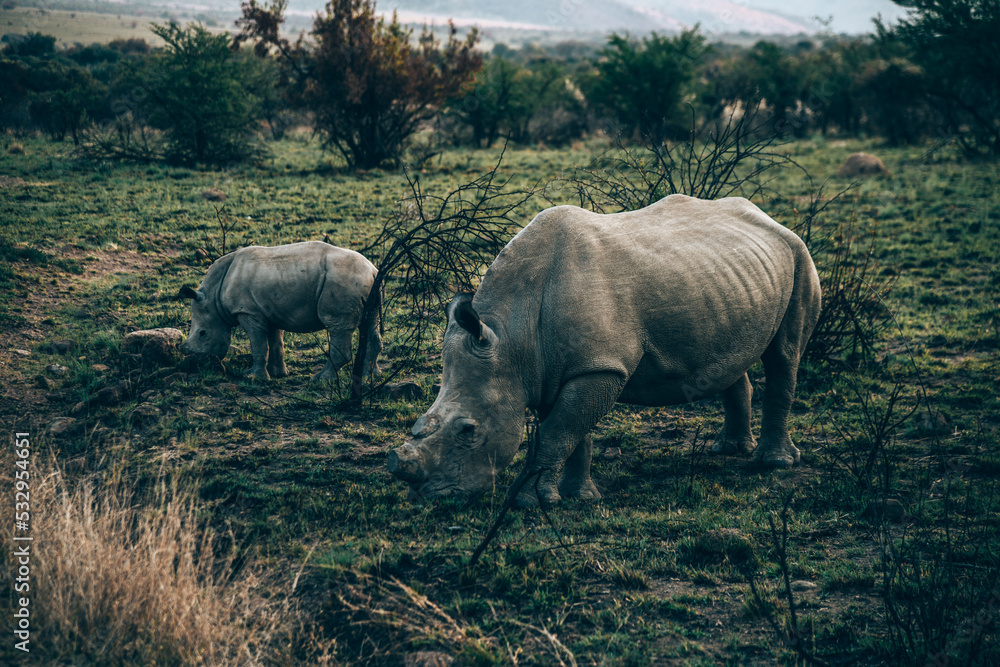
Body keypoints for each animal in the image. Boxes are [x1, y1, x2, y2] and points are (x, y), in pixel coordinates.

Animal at [178, 241, 381, 381]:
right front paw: (278, 374)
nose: (197, 361)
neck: (214, 297)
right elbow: (275, 342)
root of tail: (372, 270)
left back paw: (320, 380)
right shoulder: (269, 311)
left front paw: (252, 377)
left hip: (343, 281)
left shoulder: (248, 311)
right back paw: (369, 377)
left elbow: (259, 344)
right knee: (371, 324)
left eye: (202, 333)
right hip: (368, 285)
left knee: (338, 326)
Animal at [387, 195, 821, 506]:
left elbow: (557, 431)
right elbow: (570, 433)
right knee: (734, 354)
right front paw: (578, 497)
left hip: (800, 256)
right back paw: (728, 449)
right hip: (730, 276)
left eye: (468, 430)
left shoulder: (596, 367)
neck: (512, 339)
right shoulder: (555, 369)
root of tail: (769, 218)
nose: (425, 497)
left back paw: (773, 464)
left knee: (784, 355)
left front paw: (529, 502)